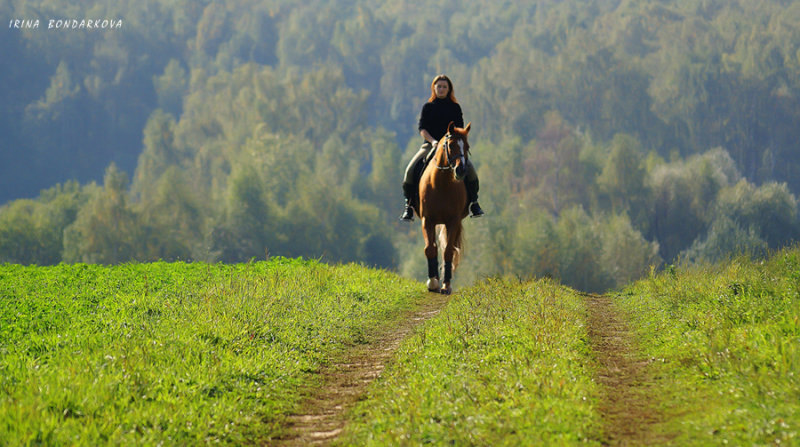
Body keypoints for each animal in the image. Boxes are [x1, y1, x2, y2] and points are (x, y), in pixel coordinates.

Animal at [416, 121, 472, 294]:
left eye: (467, 146)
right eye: (451, 145)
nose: (461, 170)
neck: (441, 184)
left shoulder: (453, 222)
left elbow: (448, 251)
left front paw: (446, 284)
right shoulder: (427, 220)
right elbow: (429, 249)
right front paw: (433, 282)